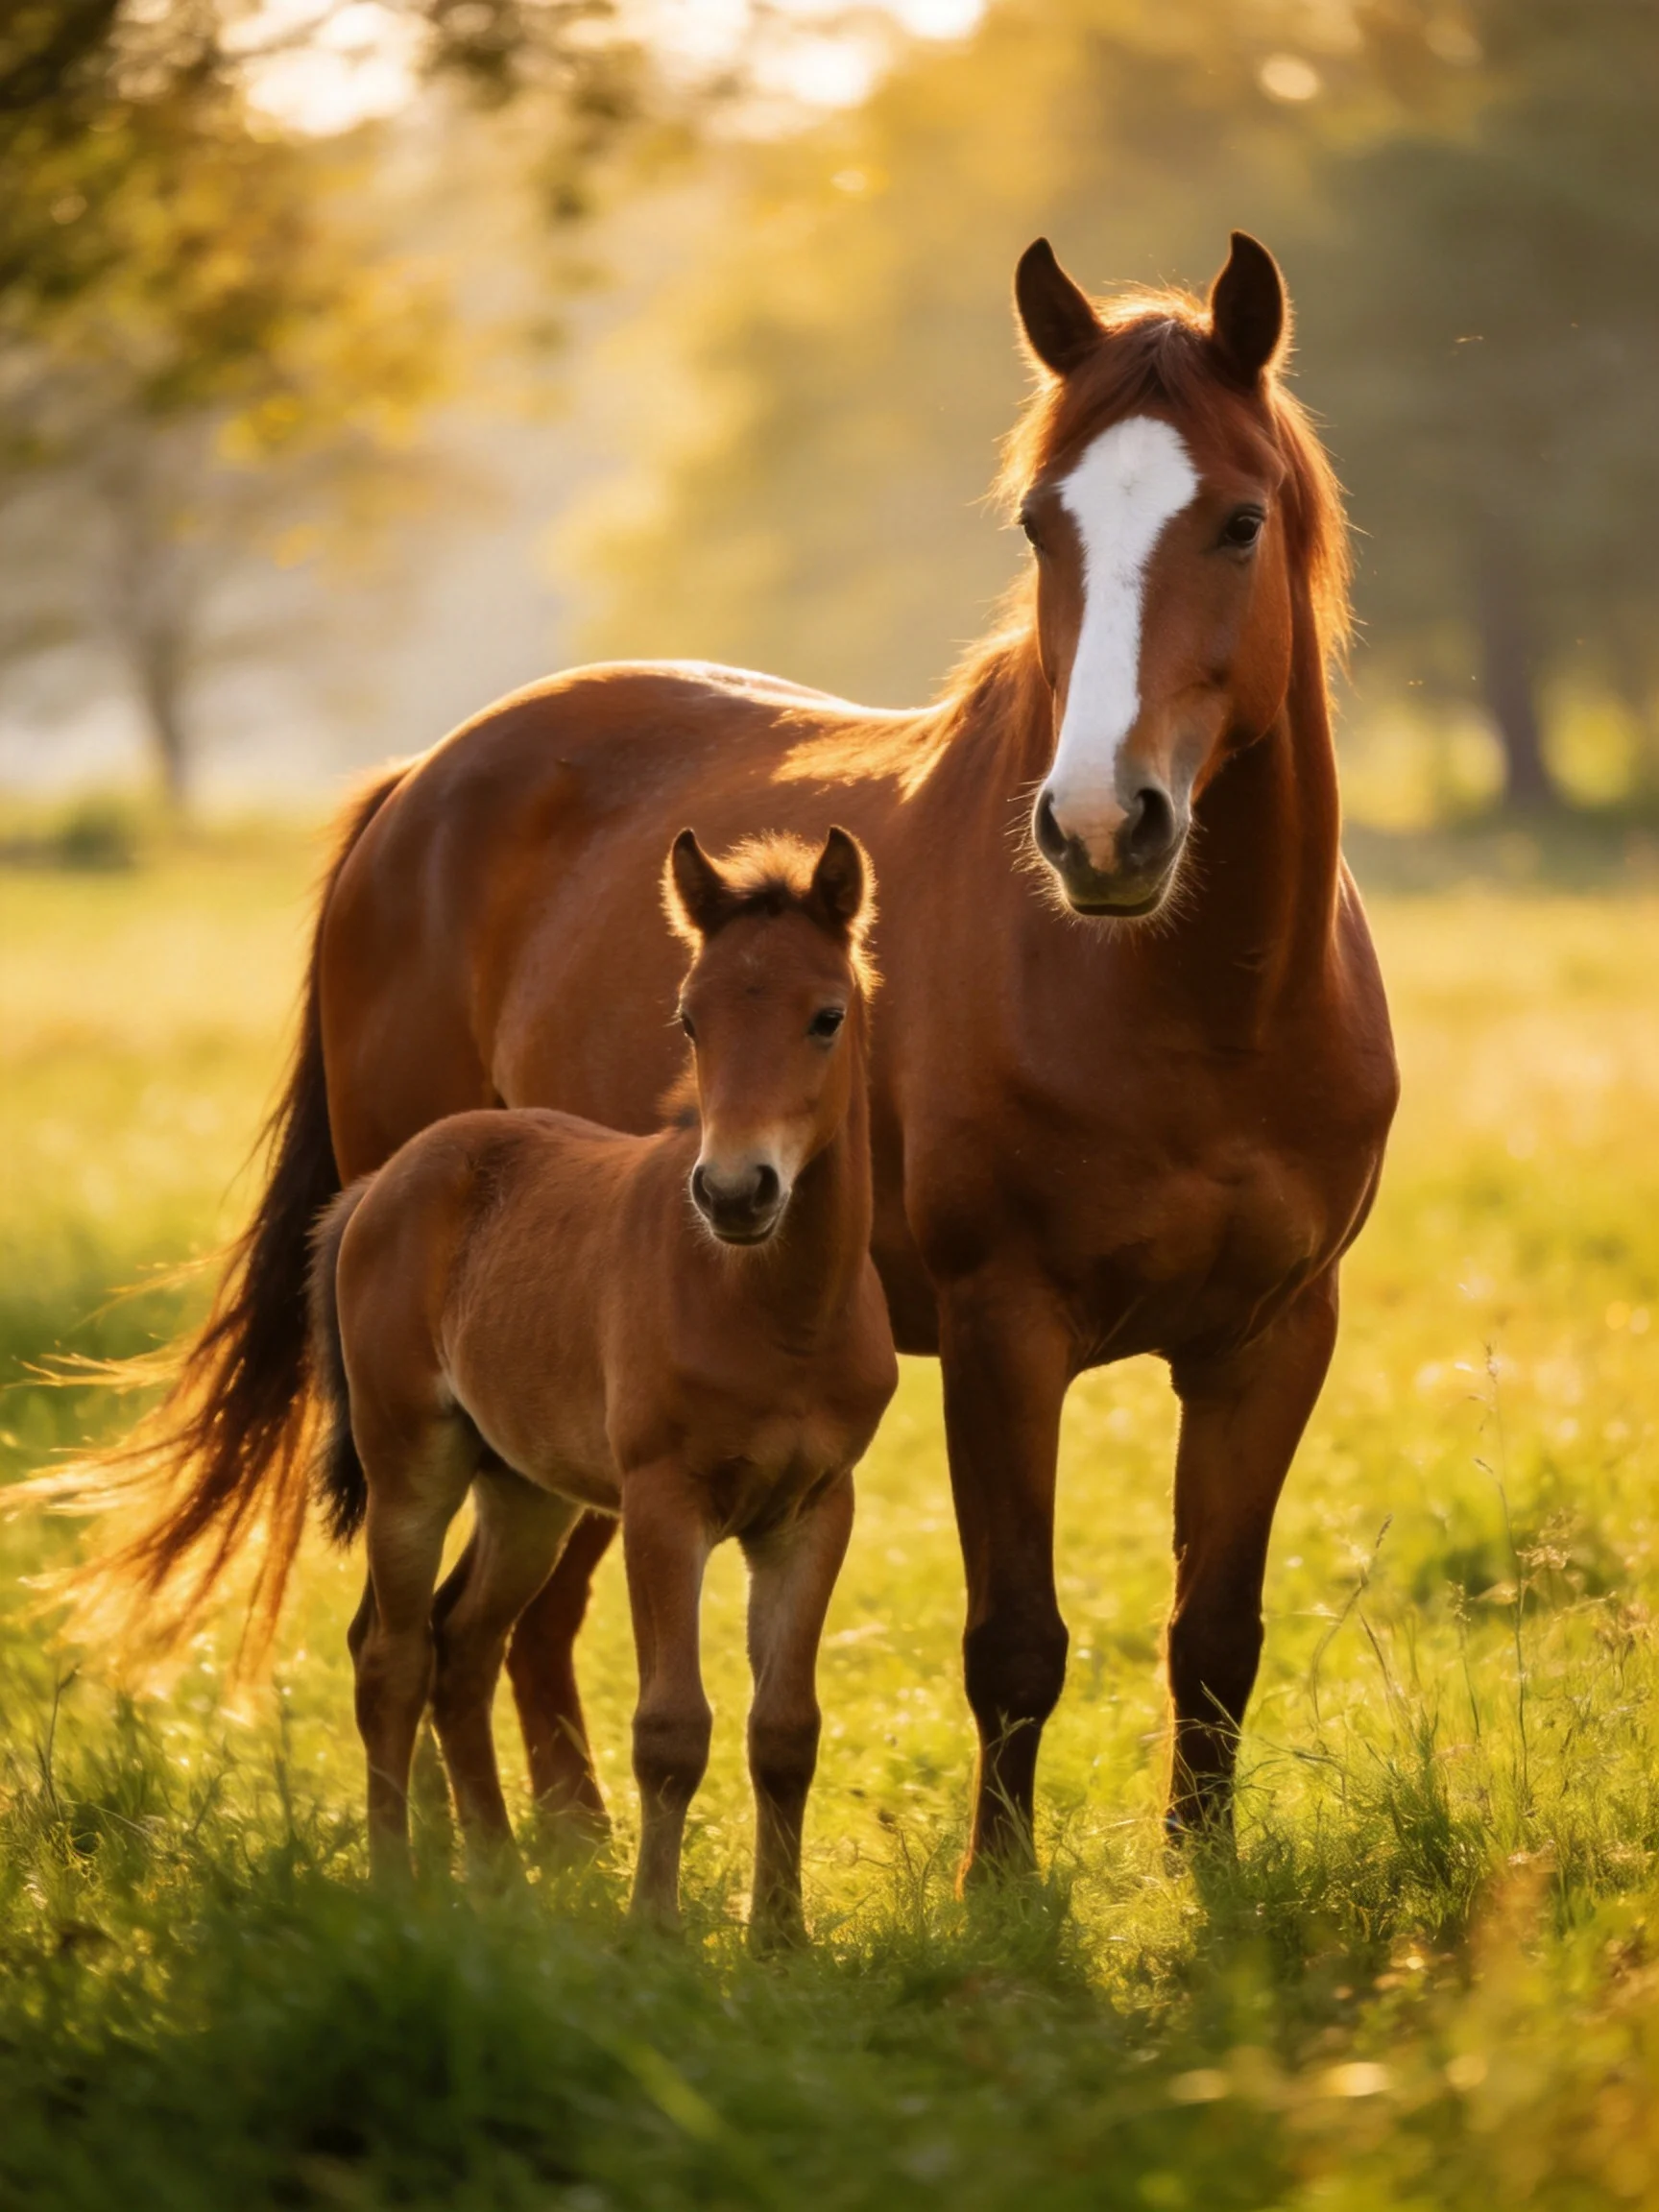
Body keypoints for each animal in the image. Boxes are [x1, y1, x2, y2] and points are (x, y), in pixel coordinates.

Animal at [307, 827, 895, 1934]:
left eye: (827, 1016)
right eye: (690, 1017)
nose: (735, 1191)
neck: (778, 1312)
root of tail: (387, 1182)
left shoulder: (814, 1510)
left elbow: (785, 1729)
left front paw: (780, 1938)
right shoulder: (664, 1503)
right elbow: (671, 1730)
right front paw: (655, 1931)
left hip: (524, 1491)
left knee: (463, 1644)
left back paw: (499, 1880)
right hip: (412, 1463)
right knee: (390, 1654)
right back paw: (398, 1882)